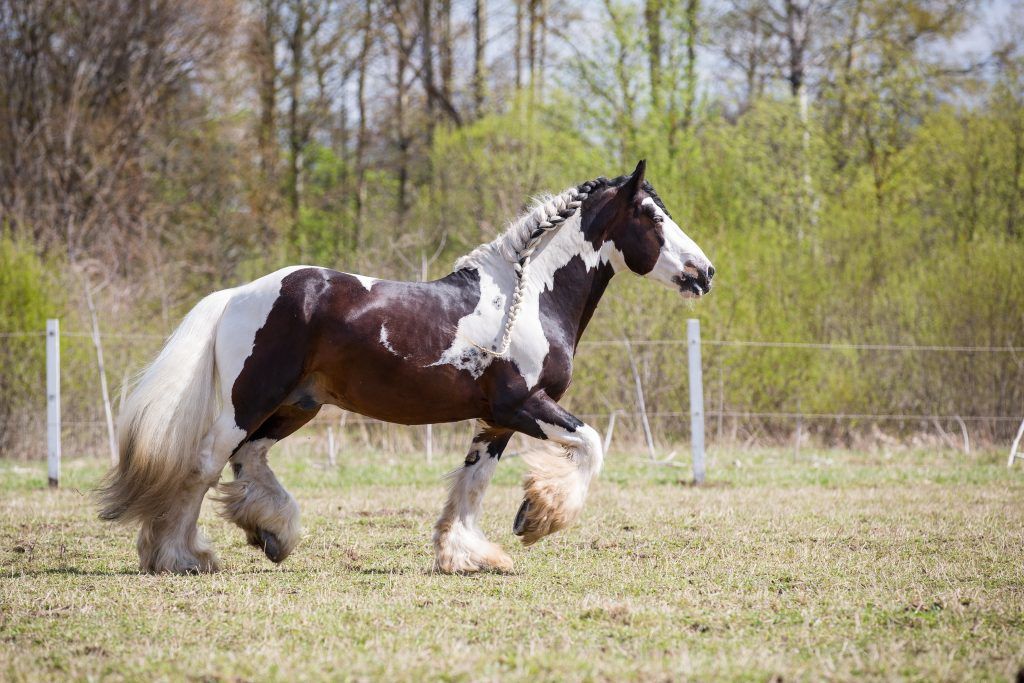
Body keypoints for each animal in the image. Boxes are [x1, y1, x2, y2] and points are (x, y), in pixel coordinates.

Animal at [99, 160, 716, 573]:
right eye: (650, 216)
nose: (704, 272)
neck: (530, 299)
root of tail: (236, 295)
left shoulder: (495, 419)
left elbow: (473, 483)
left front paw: (465, 554)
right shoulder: (524, 404)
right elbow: (589, 444)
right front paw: (536, 518)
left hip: (297, 405)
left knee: (247, 459)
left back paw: (272, 534)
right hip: (248, 400)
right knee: (205, 465)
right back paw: (181, 556)